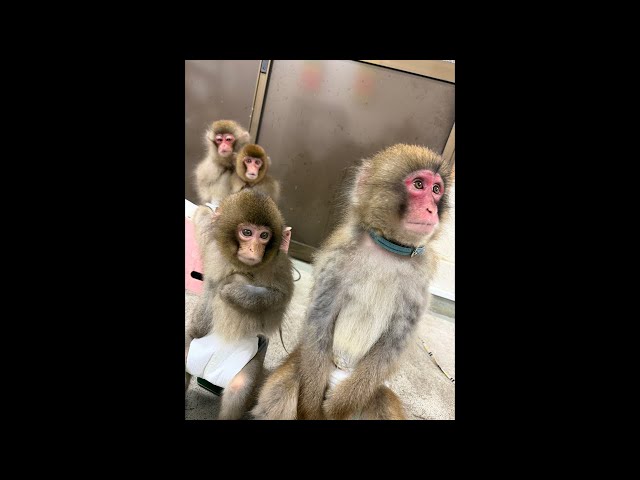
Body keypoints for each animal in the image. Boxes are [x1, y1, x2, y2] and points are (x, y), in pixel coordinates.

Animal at [185, 189, 294, 420]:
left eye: (264, 236)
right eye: (247, 232)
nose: (254, 249)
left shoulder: (279, 265)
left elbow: (279, 297)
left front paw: (230, 290)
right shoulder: (211, 241)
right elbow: (202, 217)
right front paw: (210, 210)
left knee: (239, 388)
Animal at [252, 144, 454, 420]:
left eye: (436, 190)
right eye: (419, 184)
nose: (431, 210)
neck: (388, 249)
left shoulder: (419, 283)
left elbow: (395, 338)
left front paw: (337, 406)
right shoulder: (336, 260)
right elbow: (320, 318)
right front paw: (313, 409)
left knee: (382, 403)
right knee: (280, 391)